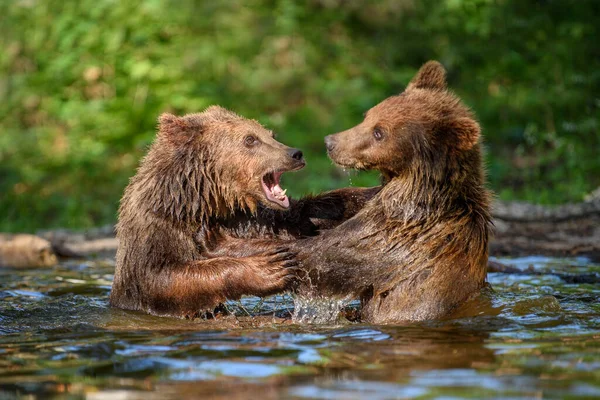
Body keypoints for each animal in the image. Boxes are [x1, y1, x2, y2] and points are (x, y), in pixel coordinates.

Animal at [110, 106, 378, 318]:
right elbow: (162, 278)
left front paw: (366, 193)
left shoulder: (247, 218)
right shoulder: (157, 227)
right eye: (250, 139)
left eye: (271, 134)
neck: (205, 200)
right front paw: (270, 269)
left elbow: (301, 219)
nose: (295, 153)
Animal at [290, 61, 492, 324]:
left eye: (379, 132)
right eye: (367, 115)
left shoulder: (396, 238)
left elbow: (329, 254)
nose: (331, 143)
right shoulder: (371, 201)